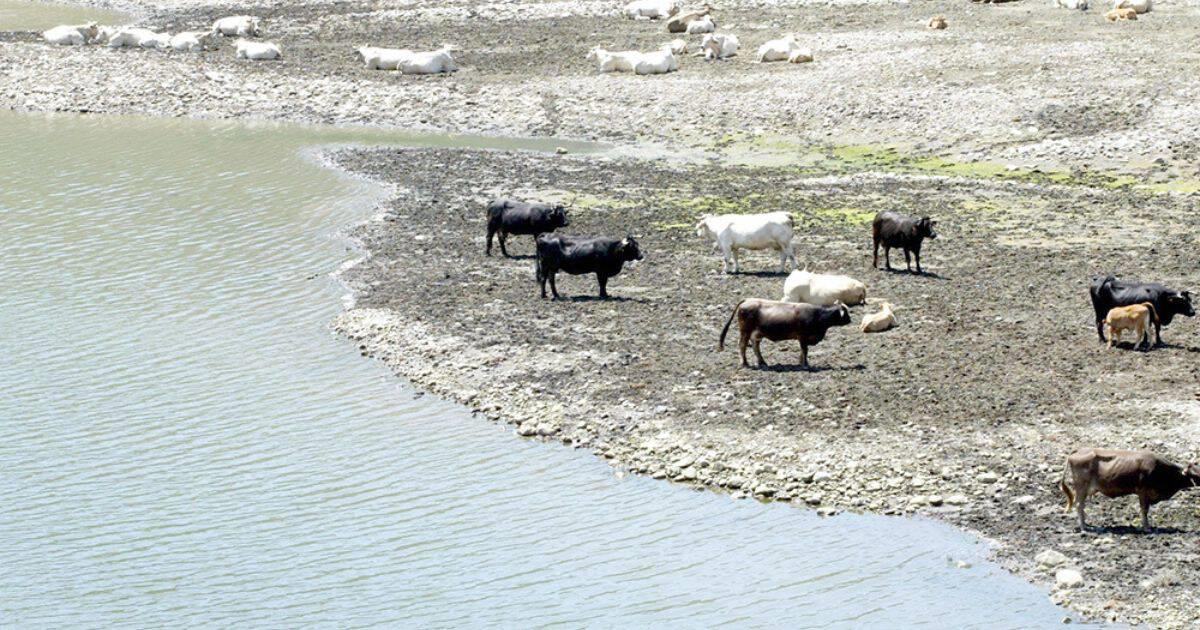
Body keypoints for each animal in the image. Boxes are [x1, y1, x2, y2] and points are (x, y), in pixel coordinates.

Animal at [715, 298, 849, 369]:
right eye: (846, 313)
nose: (850, 320)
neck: (818, 315)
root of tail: (748, 300)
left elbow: (802, 351)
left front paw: (801, 362)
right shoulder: (802, 337)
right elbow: (805, 350)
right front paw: (805, 364)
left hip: (756, 333)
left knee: (755, 346)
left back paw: (762, 362)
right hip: (745, 331)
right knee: (742, 345)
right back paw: (744, 363)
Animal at [1060, 446, 1200, 530]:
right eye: (1195, 474)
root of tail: (1075, 453)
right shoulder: (1142, 491)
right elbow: (1144, 510)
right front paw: (1147, 527)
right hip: (1081, 486)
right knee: (1079, 504)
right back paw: (1083, 527)